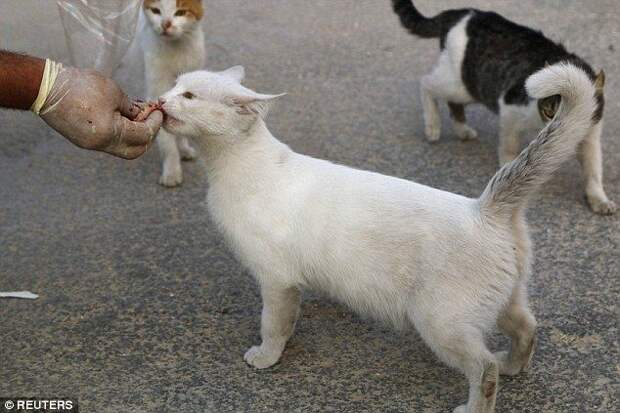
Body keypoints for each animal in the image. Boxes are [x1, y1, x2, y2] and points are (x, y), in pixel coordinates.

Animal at [141, 0, 206, 185]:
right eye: (156, 10)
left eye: (181, 12)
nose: (165, 24)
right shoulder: (158, 91)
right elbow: (167, 143)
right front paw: (172, 172)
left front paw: (183, 148)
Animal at [162, 63, 600, 412]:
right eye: (174, 86)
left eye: (188, 95)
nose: (160, 101)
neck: (232, 168)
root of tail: (486, 208)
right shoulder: (288, 283)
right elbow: (287, 321)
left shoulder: (276, 281)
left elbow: (273, 326)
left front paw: (266, 358)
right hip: (503, 301)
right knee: (527, 327)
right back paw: (513, 365)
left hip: (439, 322)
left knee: (484, 368)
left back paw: (476, 403)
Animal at [392, 0, 616, 216]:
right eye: (548, 111)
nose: (556, 129)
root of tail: (461, 12)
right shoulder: (510, 109)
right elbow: (509, 146)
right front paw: (510, 171)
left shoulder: (590, 135)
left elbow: (594, 171)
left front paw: (599, 199)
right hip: (461, 84)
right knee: (426, 84)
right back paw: (432, 126)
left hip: (469, 87)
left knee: (451, 102)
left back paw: (462, 129)